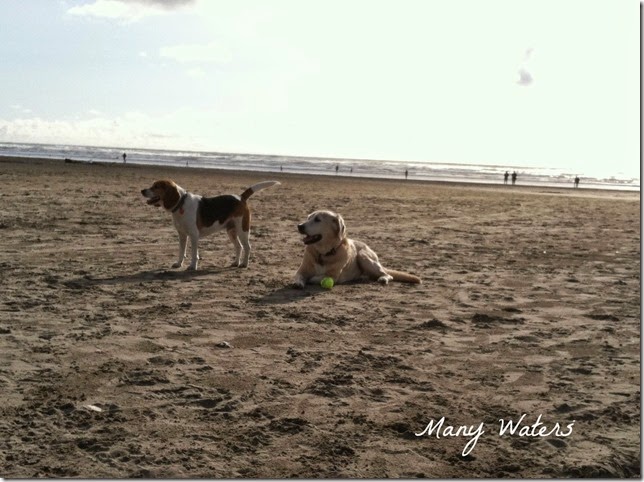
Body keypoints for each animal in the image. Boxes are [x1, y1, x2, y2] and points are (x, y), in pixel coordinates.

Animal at [294, 210, 422, 286]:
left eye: (317, 219)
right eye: (308, 218)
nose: (299, 226)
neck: (323, 253)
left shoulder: (333, 276)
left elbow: (315, 278)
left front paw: (310, 280)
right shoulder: (301, 270)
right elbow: (299, 276)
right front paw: (299, 283)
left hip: (363, 256)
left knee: (388, 275)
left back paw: (383, 278)